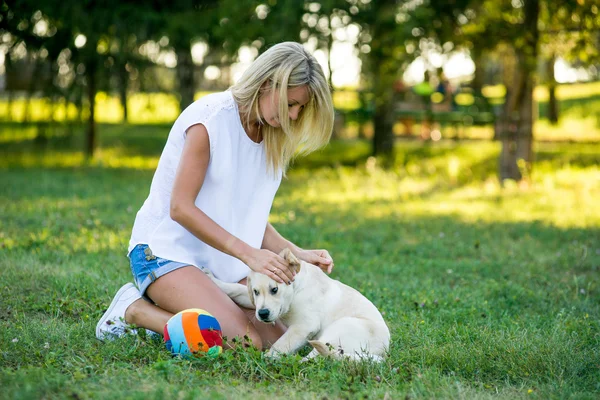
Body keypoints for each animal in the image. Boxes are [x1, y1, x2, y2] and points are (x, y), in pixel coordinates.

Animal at [210, 248, 390, 360]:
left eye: (274, 289)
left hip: (339, 329)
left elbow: (281, 345)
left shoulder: (304, 326)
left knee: (319, 357)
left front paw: (265, 360)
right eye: (255, 292)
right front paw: (214, 281)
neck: (296, 290)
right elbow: (237, 290)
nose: (262, 314)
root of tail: (383, 351)